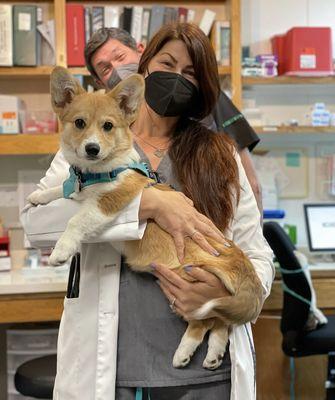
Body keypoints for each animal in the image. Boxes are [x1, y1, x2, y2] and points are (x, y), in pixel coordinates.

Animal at [28, 67, 266, 370]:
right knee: (221, 323)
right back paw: (213, 355)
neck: (96, 173)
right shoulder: (77, 188)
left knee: (206, 320)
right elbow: (61, 188)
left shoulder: (111, 200)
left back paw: (183, 352)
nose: (92, 148)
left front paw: (61, 249)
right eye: (79, 123)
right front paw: (40, 196)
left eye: (108, 126)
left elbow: (77, 220)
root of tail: (241, 265)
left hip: (189, 283)